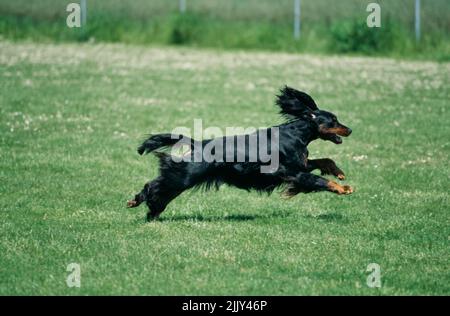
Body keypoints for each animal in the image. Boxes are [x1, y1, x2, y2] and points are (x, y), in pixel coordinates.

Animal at [128, 85, 354, 221]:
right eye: (333, 120)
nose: (350, 129)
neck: (295, 133)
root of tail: (198, 144)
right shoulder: (293, 172)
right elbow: (318, 180)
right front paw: (343, 188)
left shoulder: (300, 164)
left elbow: (324, 161)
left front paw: (339, 172)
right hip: (184, 176)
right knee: (155, 187)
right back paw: (140, 203)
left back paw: (149, 211)